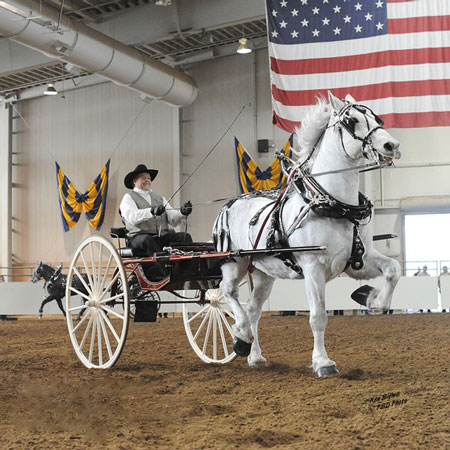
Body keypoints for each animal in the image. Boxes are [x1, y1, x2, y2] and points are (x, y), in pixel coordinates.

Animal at [214, 93, 400, 378]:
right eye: (351, 121)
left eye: (377, 118)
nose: (392, 145)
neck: (333, 204)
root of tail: (230, 204)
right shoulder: (313, 267)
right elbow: (318, 317)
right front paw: (323, 362)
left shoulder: (360, 259)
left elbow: (393, 269)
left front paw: (372, 300)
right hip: (235, 263)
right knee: (227, 292)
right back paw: (240, 337)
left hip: (263, 274)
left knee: (253, 310)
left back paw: (254, 354)